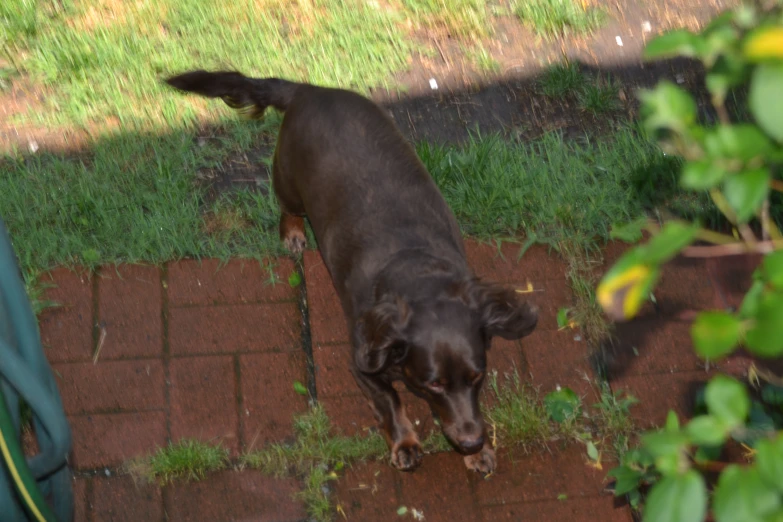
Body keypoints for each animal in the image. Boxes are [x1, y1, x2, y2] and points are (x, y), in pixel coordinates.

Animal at [165, 71, 540, 474]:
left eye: (477, 377)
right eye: (434, 385)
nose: (472, 442)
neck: (419, 273)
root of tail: (309, 90)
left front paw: (479, 454)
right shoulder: (363, 361)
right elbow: (391, 403)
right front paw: (406, 443)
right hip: (287, 179)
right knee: (287, 208)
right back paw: (293, 233)